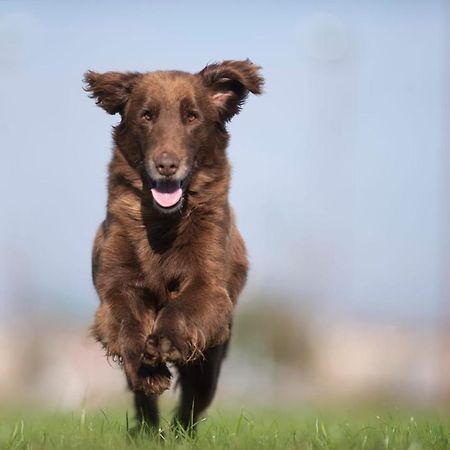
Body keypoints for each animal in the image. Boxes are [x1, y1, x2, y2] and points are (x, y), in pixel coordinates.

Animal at [83, 59, 264, 428]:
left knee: (194, 401)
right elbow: (125, 321)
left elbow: (183, 306)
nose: (166, 165)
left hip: (212, 358)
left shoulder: (209, 282)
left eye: (192, 117)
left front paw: (165, 340)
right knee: (143, 401)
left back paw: (181, 431)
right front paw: (151, 371)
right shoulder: (116, 283)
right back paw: (149, 426)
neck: (162, 223)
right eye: (146, 115)